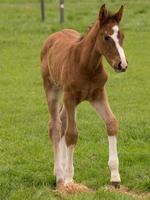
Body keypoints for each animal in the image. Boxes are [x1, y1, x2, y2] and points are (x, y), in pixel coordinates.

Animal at [40, 4, 127, 189]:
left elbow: (112, 123)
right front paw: (68, 179)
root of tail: (53, 35)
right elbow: (72, 134)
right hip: (53, 89)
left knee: (62, 121)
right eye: (106, 37)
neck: (86, 65)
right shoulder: (70, 96)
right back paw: (59, 176)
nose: (122, 65)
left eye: (121, 36)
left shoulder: (98, 95)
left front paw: (115, 177)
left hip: (74, 100)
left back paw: (60, 171)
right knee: (56, 126)